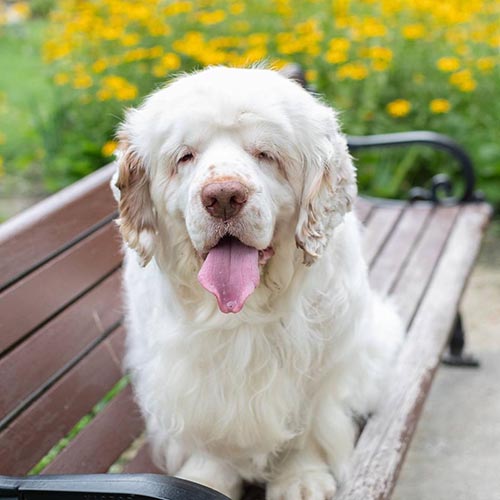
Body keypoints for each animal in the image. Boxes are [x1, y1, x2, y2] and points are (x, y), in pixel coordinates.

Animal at [112, 66, 402, 500]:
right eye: (185, 156)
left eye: (266, 154)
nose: (223, 196)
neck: (243, 314)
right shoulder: (191, 378)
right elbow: (210, 435)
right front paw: (206, 477)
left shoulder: (321, 372)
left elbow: (307, 428)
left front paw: (301, 479)